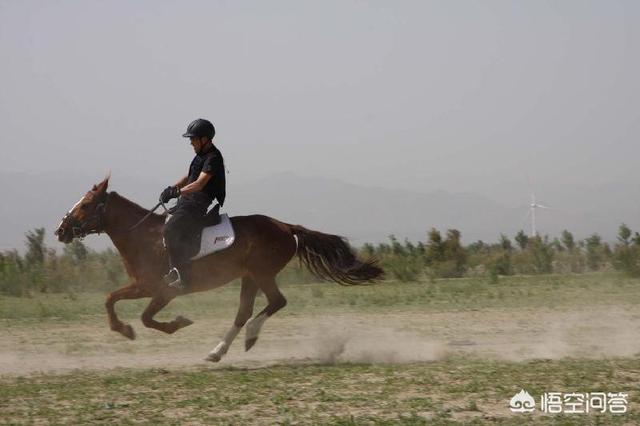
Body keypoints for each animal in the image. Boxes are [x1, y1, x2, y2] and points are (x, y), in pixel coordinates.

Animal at [53, 175, 380, 362]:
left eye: (86, 205)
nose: (60, 230)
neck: (144, 237)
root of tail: (286, 227)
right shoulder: (141, 286)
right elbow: (110, 299)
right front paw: (123, 329)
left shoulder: (163, 290)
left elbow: (145, 317)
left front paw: (175, 323)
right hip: (249, 277)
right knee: (245, 311)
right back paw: (218, 351)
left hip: (262, 273)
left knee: (276, 302)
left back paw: (250, 337)